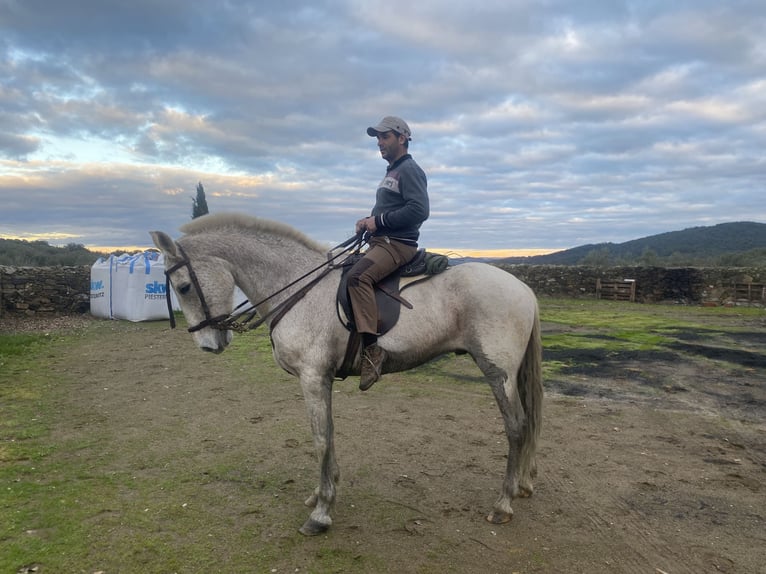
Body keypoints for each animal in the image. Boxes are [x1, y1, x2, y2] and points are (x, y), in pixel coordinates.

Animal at [150, 212, 543, 536]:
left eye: (183, 286)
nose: (207, 344)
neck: (296, 287)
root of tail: (524, 289)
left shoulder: (312, 377)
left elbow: (320, 438)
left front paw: (322, 513)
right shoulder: (321, 379)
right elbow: (330, 434)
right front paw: (321, 494)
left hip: (498, 373)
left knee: (516, 427)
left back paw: (503, 503)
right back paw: (522, 486)